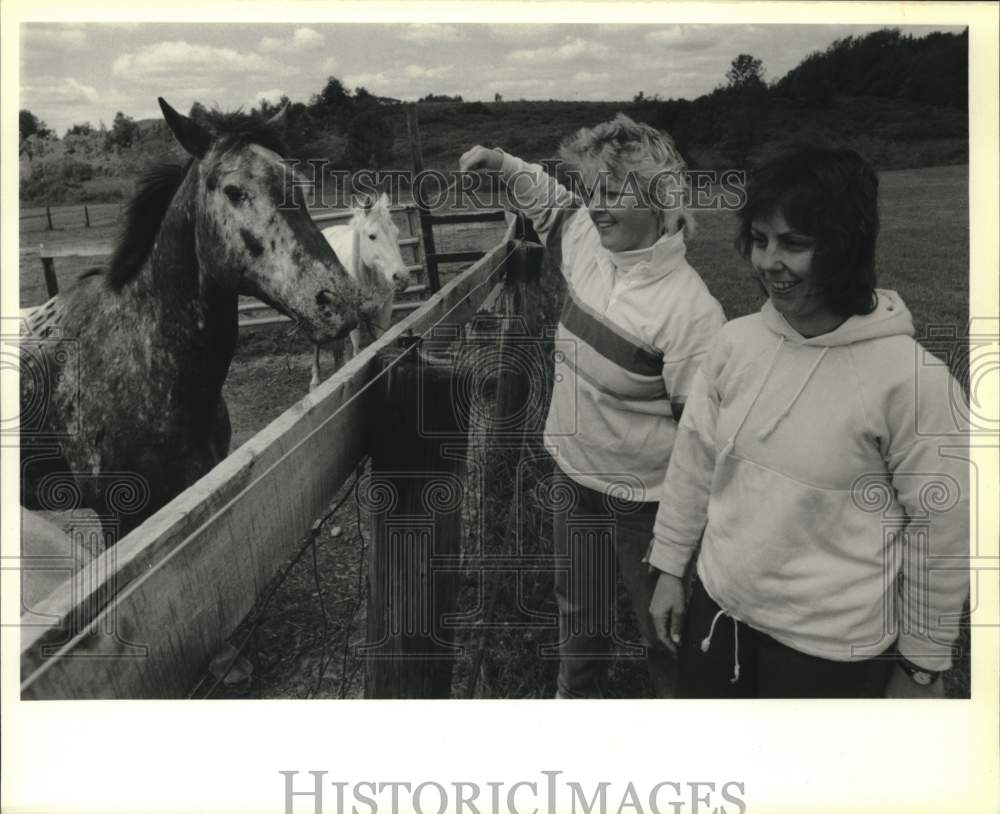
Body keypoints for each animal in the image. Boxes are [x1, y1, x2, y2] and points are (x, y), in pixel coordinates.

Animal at [308, 194, 410, 392]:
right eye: (372, 236)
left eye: (396, 233)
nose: (401, 277)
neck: (366, 278)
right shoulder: (355, 315)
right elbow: (357, 347)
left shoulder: (384, 310)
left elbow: (380, 341)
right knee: (316, 344)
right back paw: (315, 382)